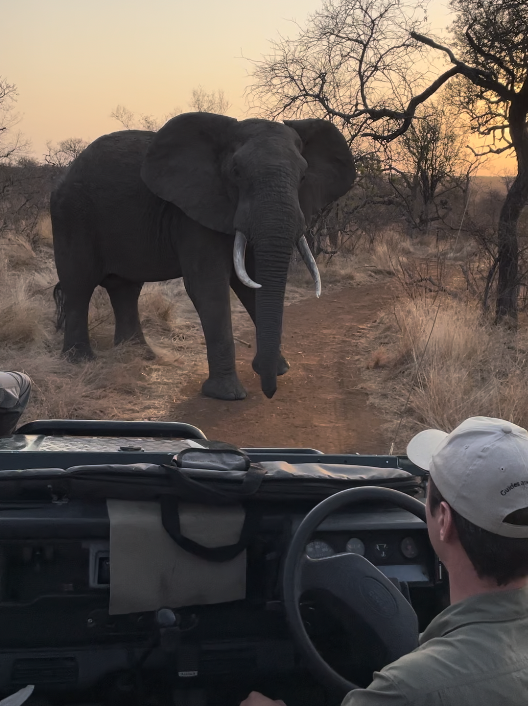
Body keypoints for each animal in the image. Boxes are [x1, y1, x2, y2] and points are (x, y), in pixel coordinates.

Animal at [51, 113, 355, 400]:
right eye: (236, 172)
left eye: (303, 176)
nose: (269, 392)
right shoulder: (193, 213)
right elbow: (208, 286)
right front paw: (228, 394)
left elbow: (254, 282)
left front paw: (278, 369)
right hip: (72, 214)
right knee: (79, 285)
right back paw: (80, 360)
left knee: (125, 289)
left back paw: (140, 354)